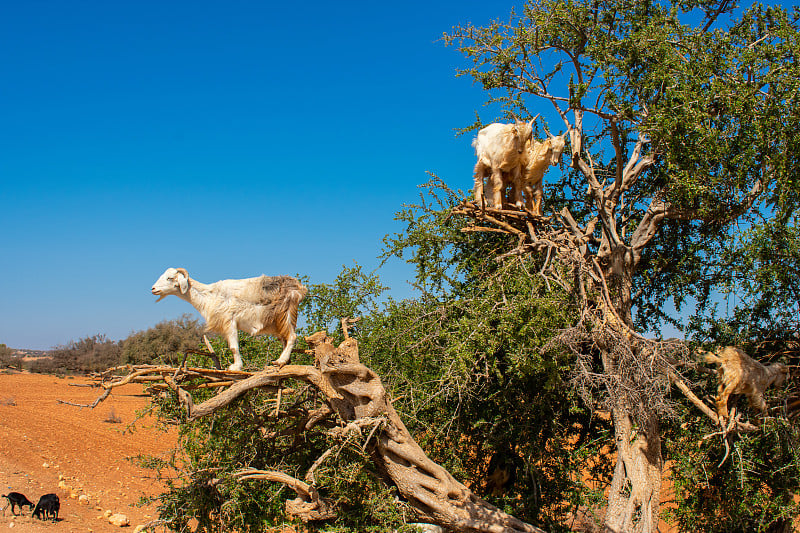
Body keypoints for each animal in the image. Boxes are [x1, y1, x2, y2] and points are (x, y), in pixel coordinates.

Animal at [152, 266, 308, 370]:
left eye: (170, 278)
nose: (153, 289)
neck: (210, 294)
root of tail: (299, 287)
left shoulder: (230, 320)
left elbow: (233, 347)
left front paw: (236, 367)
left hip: (285, 315)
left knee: (292, 337)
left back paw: (281, 361)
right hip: (278, 322)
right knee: (285, 340)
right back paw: (283, 361)